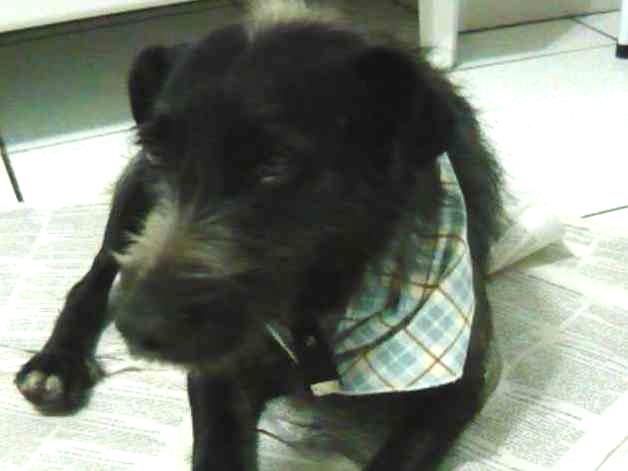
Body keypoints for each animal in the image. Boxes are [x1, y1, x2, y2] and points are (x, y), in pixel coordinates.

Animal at [15, 1, 504, 469]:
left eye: (275, 163)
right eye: (156, 151)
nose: (137, 326)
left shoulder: (460, 384)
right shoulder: (219, 369)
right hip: (130, 206)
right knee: (93, 278)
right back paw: (56, 364)